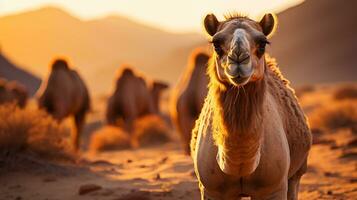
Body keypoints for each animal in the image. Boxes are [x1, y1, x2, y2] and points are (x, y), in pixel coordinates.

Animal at [189, 13, 312, 199]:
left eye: (263, 43)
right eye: (216, 44)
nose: (238, 57)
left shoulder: (273, 188)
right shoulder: (212, 190)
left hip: (297, 173)